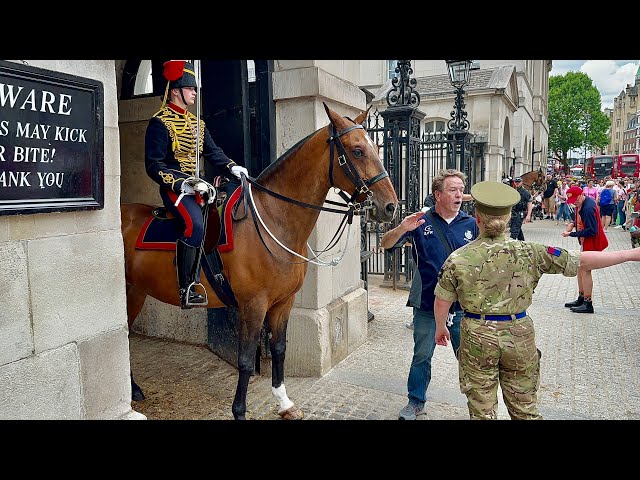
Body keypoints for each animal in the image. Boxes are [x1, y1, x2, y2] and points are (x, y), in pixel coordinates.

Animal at [120, 102, 400, 420]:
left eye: (374, 147)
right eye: (357, 150)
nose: (390, 206)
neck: (273, 219)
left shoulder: (282, 302)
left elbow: (279, 349)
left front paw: (284, 402)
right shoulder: (253, 305)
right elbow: (244, 359)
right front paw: (240, 411)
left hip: (136, 291)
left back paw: (134, 389)